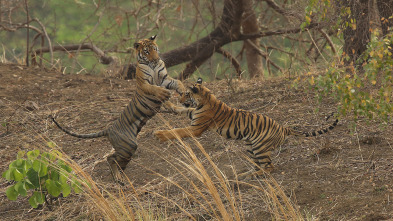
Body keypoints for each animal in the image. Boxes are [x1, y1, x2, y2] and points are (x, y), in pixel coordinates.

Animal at [51, 35, 185, 185]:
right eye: (146, 51)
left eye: (154, 49)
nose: (156, 59)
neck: (153, 66)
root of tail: (109, 129)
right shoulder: (144, 83)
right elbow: (154, 88)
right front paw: (164, 94)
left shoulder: (165, 78)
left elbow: (178, 82)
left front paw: (183, 92)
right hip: (128, 145)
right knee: (110, 159)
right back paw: (118, 178)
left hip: (125, 148)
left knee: (112, 158)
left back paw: (119, 177)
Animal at [153, 77, 336, 176]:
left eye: (186, 93)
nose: (179, 99)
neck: (204, 99)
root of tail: (284, 127)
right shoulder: (193, 114)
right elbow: (182, 111)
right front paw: (168, 105)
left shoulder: (196, 128)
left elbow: (177, 131)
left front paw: (160, 134)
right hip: (251, 146)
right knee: (258, 164)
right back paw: (245, 175)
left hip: (260, 147)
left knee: (269, 167)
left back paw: (254, 176)